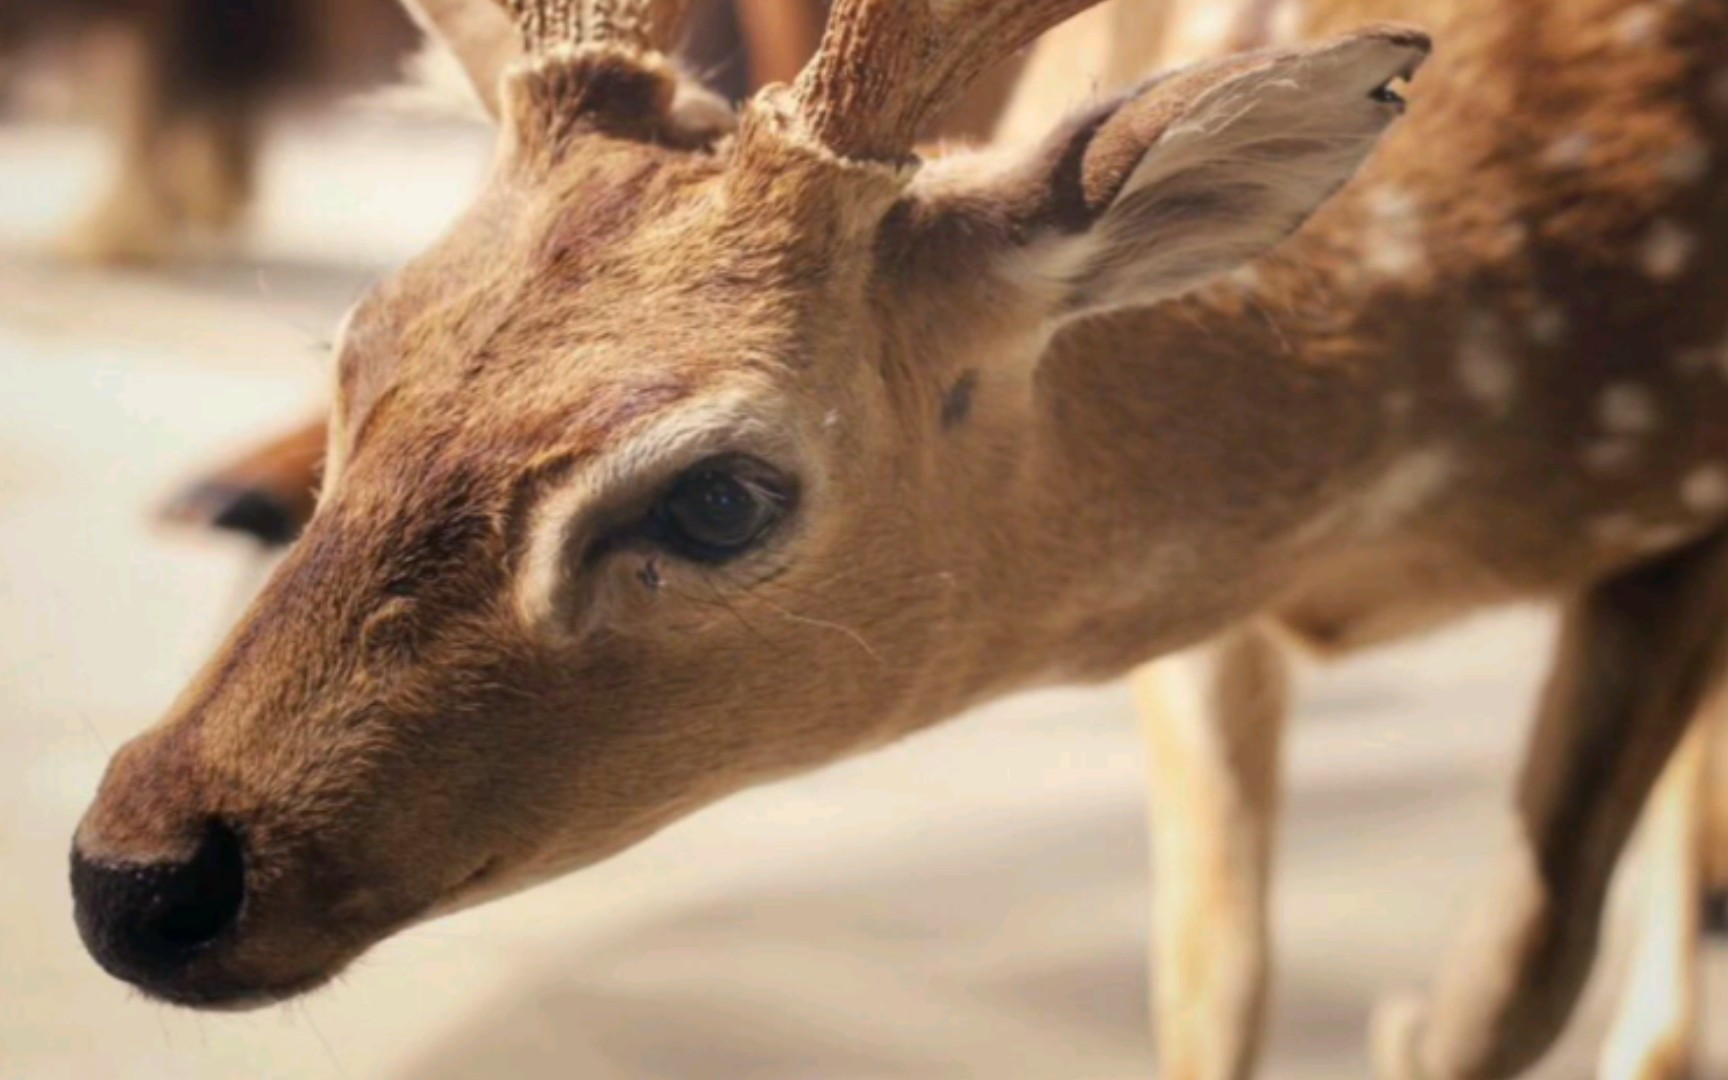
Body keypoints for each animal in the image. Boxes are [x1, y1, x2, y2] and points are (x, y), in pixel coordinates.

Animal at [64, 0, 1728, 1078]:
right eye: (354, 358)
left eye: (722, 495)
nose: (134, 873)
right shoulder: (1210, 632)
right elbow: (1209, 979)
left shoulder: (1687, 514)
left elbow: (1508, 986)